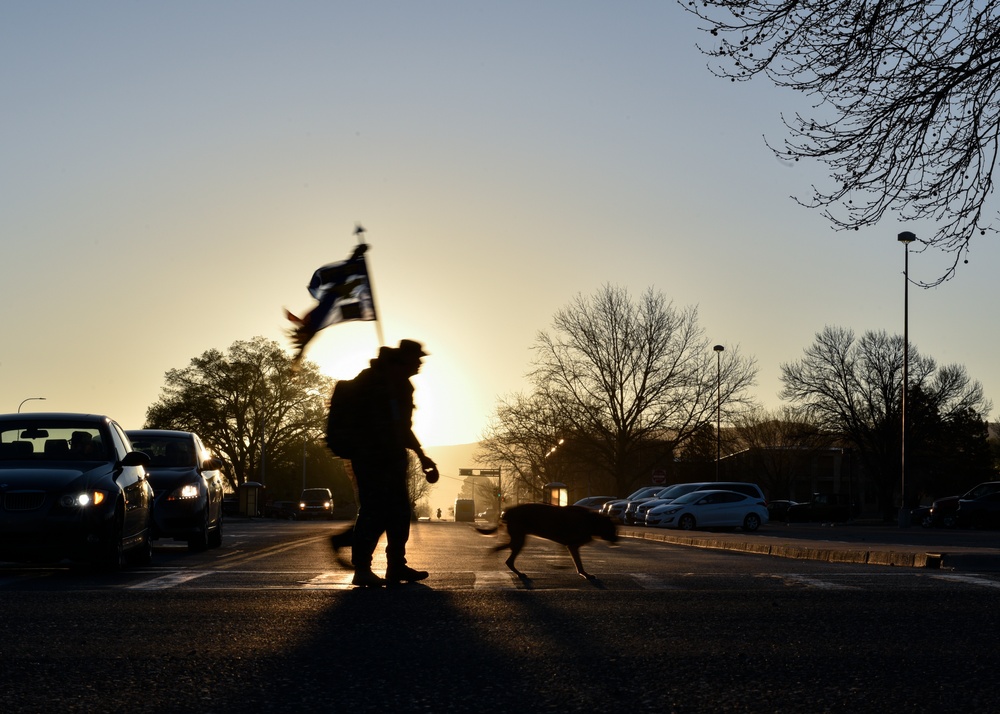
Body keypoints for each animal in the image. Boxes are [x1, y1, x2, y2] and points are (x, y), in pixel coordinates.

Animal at [476, 500, 616, 580]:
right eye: (613, 528)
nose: (617, 540)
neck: (592, 521)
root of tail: (508, 510)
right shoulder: (572, 544)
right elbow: (578, 563)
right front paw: (585, 574)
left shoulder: (568, 545)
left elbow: (573, 561)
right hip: (519, 539)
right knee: (507, 558)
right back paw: (517, 573)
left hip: (517, 538)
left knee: (499, 549)